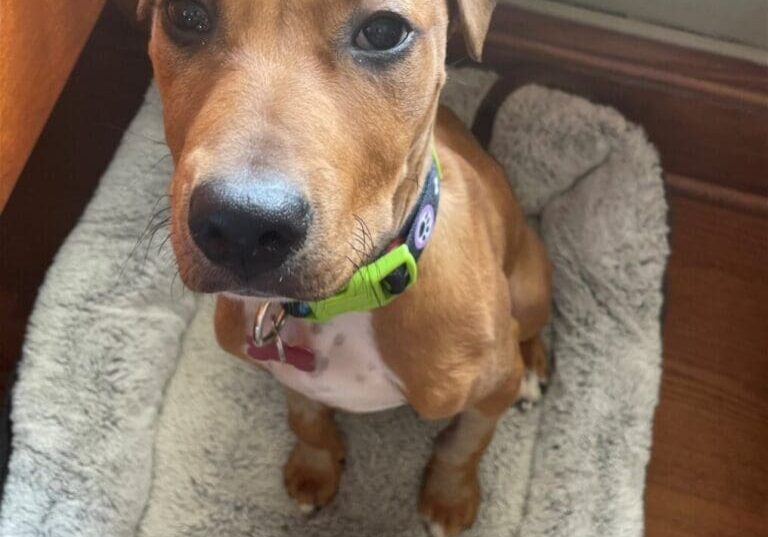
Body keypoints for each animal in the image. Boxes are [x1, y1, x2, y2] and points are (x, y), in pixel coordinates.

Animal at [140, 2, 552, 532]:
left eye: (383, 31)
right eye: (185, 14)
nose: (242, 227)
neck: (343, 302)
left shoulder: (490, 386)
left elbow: (465, 445)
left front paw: (449, 499)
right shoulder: (288, 371)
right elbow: (306, 418)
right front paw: (314, 468)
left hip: (530, 284)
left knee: (531, 325)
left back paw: (534, 366)